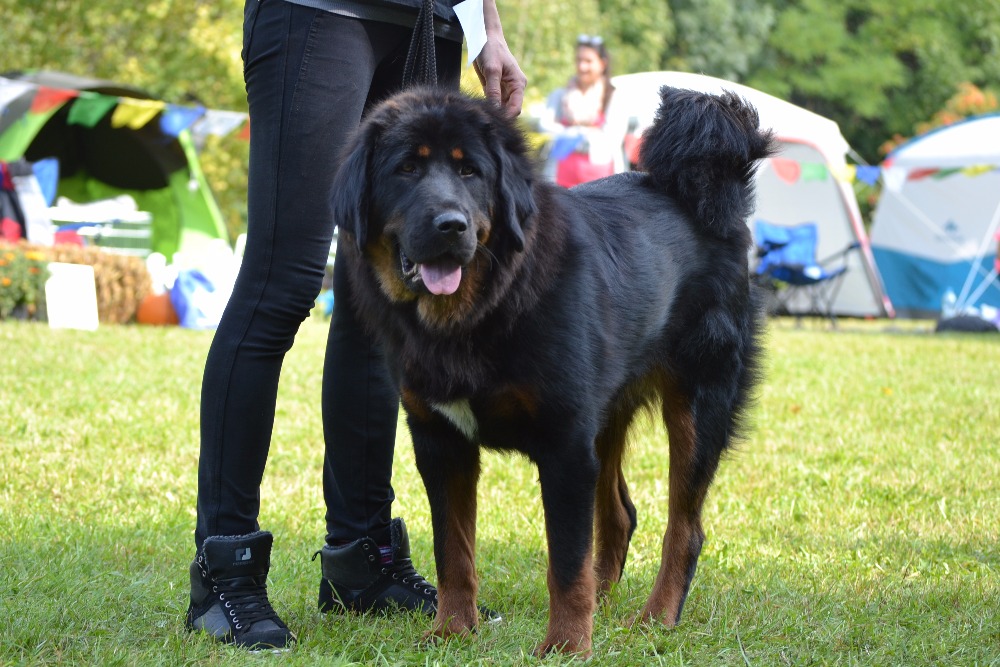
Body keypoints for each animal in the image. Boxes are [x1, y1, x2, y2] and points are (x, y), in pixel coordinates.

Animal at [332, 85, 776, 656]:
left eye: (470, 171)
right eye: (406, 169)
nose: (450, 225)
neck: (483, 310)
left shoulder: (565, 444)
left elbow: (565, 563)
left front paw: (566, 645)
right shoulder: (440, 442)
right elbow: (453, 552)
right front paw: (453, 630)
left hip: (698, 405)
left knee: (684, 529)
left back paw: (655, 618)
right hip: (608, 417)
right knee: (619, 515)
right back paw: (605, 605)